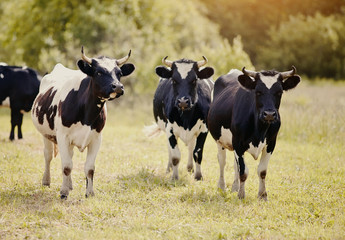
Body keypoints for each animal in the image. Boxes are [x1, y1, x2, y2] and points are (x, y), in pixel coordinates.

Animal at [31, 47, 134, 199]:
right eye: (98, 72)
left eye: (119, 73)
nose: (118, 87)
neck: (87, 115)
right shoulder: (62, 136)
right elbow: (66, 166)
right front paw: (63, 192)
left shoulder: (96, 138)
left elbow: (89, 168)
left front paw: (89, 192)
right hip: (46, 134)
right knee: (48, 155)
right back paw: (46, 181)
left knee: (69, 156)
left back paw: (70, 184)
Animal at [206, 66, 300, 200]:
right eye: (258, 92)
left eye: (279, 92)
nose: (269, 114)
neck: (259, 130)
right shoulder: (238, 143)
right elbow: (243, 172)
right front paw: (241, 195)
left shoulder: (271, 143)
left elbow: (262, 171)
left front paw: (262, 195)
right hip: (219, 140)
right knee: (222, 161)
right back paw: (222, 187)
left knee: (235, 165)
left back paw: (235, 187)